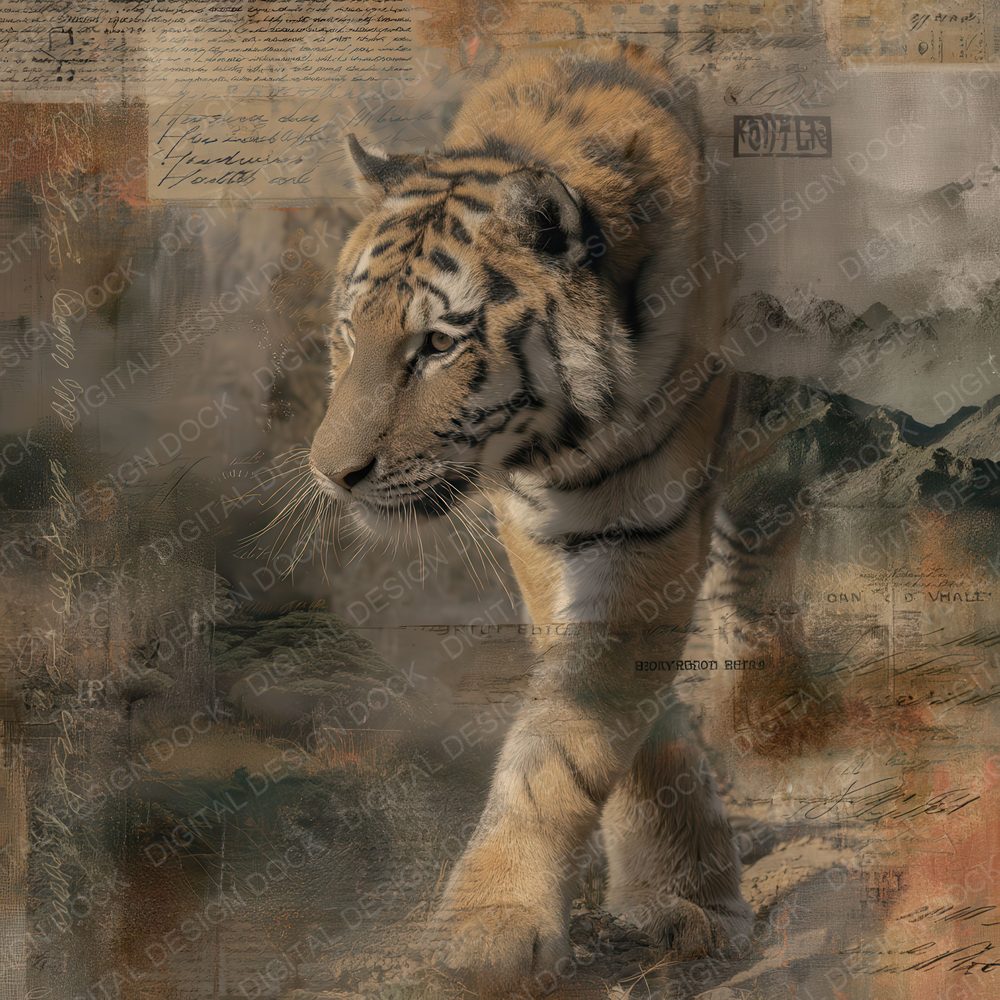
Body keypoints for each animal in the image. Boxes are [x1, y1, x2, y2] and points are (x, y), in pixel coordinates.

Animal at [308, 41, 756, 995]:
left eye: (437, 345)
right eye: (349, 331)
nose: (332, 475)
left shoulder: (648, 520)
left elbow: (569, 733)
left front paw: (497, 923)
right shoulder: (542, 528)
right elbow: (598, 701)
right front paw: (674, 884)